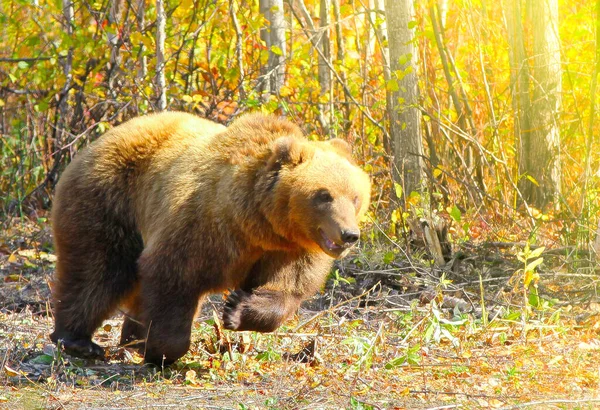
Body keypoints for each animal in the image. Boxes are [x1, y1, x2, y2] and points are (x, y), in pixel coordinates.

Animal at [50, 112, 370, 366]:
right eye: (323, 195)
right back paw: (78, 341)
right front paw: (160, 350)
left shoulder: (290, 249)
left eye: (355, 196)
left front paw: (236, 309)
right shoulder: (202, 226)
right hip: (111, 202)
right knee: (97, 271)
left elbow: (285, 288)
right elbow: (173, 276)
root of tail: (97, 141)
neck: (254, 223)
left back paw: (130, 336)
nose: (349, 234)